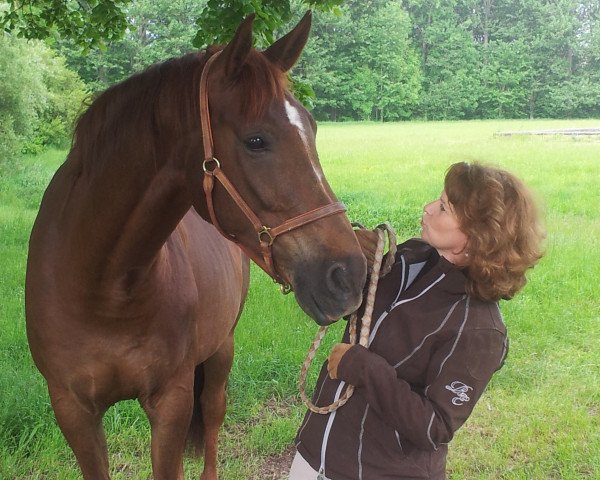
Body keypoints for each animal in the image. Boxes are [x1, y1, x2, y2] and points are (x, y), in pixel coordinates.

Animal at [23, 10, 366, 480]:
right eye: (256, 140)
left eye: (312, 130)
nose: (349, 274)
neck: (101, 287)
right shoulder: (72, 410)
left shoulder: (171, 401)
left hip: (221, 352)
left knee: (214, 417)